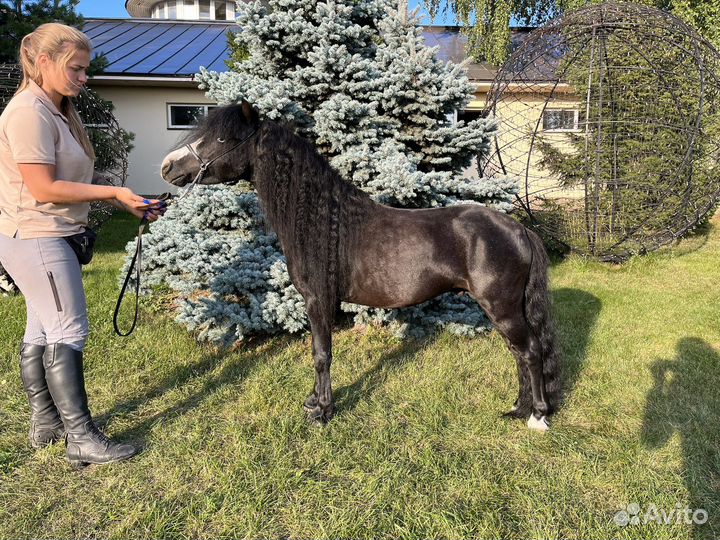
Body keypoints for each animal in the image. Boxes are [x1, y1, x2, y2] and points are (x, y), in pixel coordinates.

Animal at [160, 101, 561, 431]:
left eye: (222, 138)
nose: (168, 166)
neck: (323, 220)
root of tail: (519, 229)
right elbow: (317, 351)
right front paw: (313, 402)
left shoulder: (319, 300)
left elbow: (322, 354)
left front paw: (322, 411)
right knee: (519, 353)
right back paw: (517, 408)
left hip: (502, 307)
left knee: (530, 351)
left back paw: (537, 416)